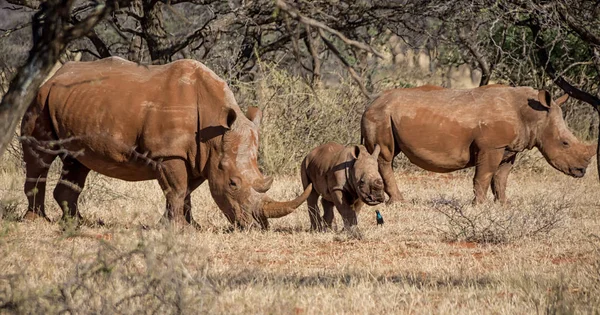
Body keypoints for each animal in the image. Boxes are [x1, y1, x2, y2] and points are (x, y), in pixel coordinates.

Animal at [21, 57, 312, 230]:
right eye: (233, 183)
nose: (256, 226)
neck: (215, 130)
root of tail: (54, 75)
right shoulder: (169, 153)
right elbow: (177, 189)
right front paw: (176, 229)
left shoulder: (199, 155)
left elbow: (186, 191)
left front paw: (188, 226)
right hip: (40, 99)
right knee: (41, 155)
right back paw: (37, 221)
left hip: (77, 104)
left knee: (76, 162)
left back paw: (78, 223)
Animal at [360, 84, 596, 205]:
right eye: (565, 143)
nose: (581, 171)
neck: (533, 114)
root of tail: (369, 104)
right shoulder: (491, 146)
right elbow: (483, 176)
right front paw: (478, 206)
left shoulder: (508, 148)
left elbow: (501, 178)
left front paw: (502, 205)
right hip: (381, 115)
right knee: (386, 157)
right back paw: (399, 202)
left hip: (383, 114)